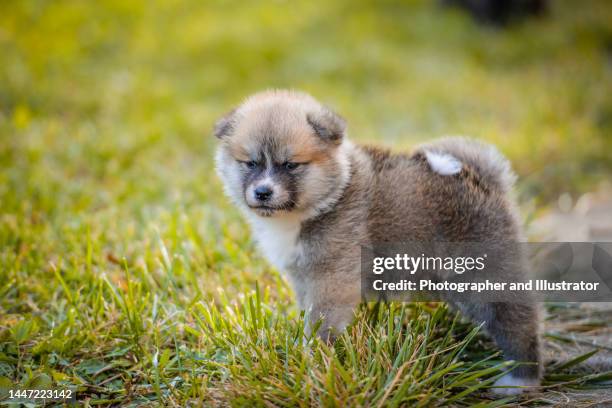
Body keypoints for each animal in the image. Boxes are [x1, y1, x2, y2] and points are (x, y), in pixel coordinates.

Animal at [214, 90, 540, 396]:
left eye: (291, 165)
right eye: (250, 163)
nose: (263, 192)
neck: (322, 201)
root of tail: (483, 179)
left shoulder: (331, 277)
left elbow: (321, 323)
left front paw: (313, 360)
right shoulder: (302, 276)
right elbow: (307, 312)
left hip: (483, 279)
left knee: (517, 322)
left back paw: (520, 379)